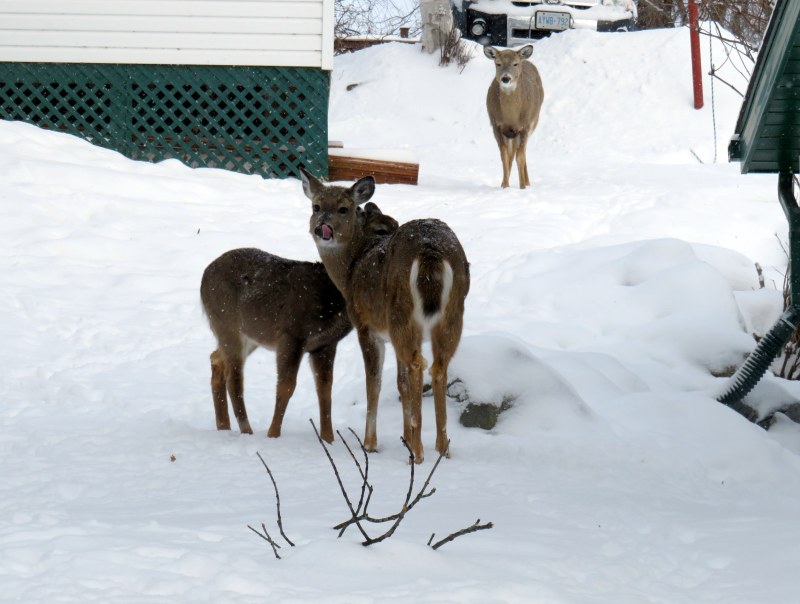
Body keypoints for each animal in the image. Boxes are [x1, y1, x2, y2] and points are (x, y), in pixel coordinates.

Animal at [200, 204, 398, 444]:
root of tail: (203, 277)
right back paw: (246, 430)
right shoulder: (291, 334)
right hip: (226, 322)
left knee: (216, 359)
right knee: (234, 378)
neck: (330, 297)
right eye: (380, 229)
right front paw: (273, 434)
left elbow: (325, 390)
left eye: (397, 224)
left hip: (247, 335)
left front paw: (328, 439)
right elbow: (286, 386)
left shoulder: (325, 343)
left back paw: (224, 427)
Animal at [300, 168, 470, 463]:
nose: (322, 227)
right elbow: (400, 384)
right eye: (316, 206)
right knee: (438, 366)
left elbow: (374, 383)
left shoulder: (366, 326)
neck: (350, 269)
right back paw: (442, 449)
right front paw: (405, 437)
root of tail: (431, 251)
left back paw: (419, 454)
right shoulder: (390, 335)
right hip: (451, 316)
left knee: (418, 365)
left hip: (402, 314)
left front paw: (370, 443)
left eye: (343, 208)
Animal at [484, 44, 544, 189]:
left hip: (533, 123)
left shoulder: (525, 127)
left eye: (515, 64)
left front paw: (522, 187)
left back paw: (527, 182)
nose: (506, 78)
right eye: (498, 63)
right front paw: (505, 186)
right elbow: (504, 156)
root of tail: (526, 60)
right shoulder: (496, 126)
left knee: (522, 152)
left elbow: (520, 157)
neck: (511, 117)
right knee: (511, 154)